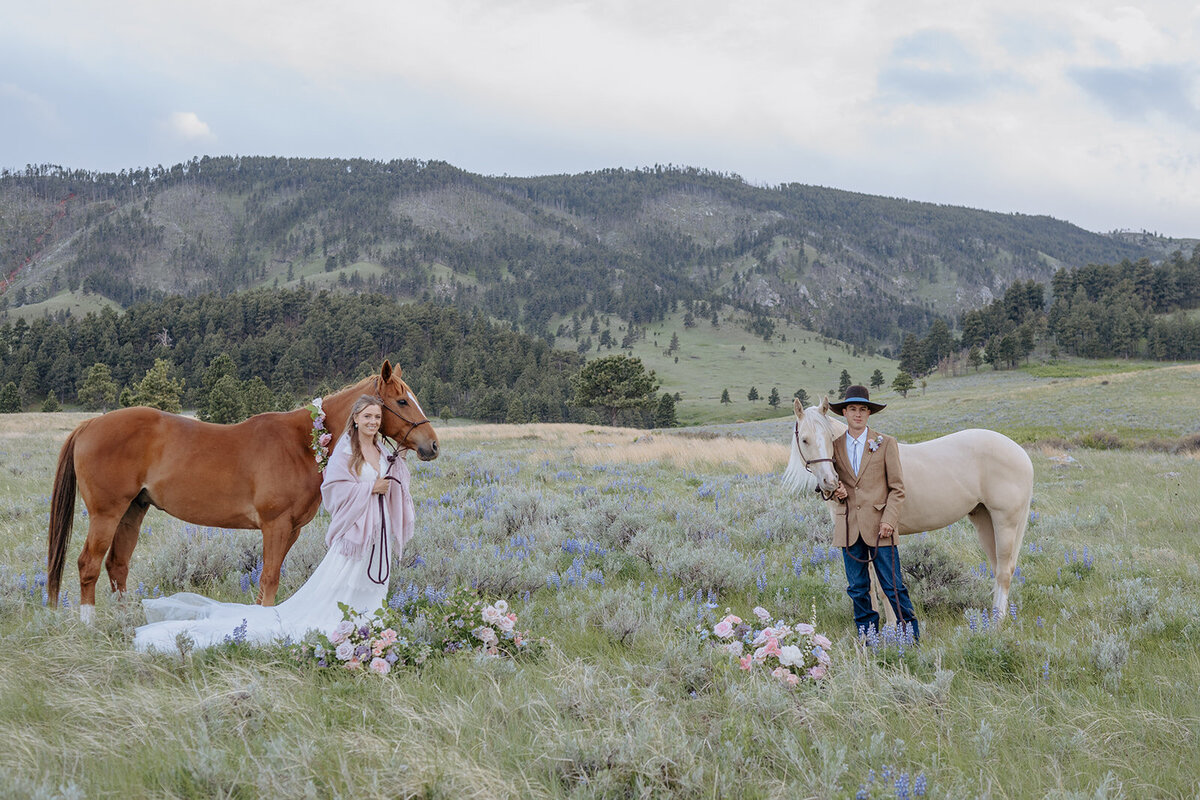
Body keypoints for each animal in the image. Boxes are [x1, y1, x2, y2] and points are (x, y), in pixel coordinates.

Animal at [49, 359, 441, 623]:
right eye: (402, 401)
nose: (433, 445)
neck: (303, 442)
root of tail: (89, 425)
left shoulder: (291, 529)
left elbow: (269, 579)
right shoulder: (275, 525)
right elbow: (269, 578)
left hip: (133, 509)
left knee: (117, 565)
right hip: (107, 512)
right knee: (89, 564)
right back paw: (89, 626)